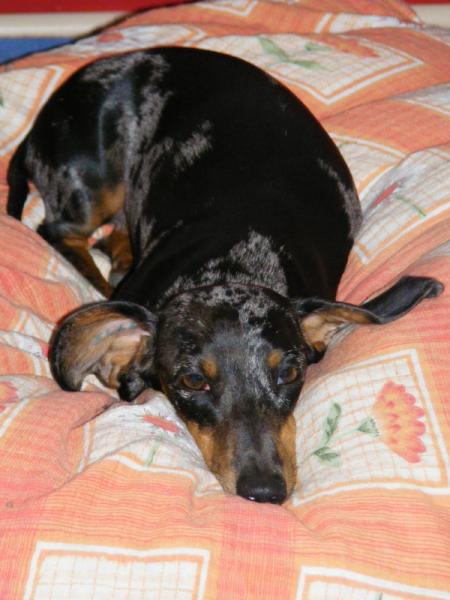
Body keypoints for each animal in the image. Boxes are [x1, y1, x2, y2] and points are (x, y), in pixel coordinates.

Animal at [7, 47, 443, 504]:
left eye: (290, 372)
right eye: (194, 380)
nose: (265, 491)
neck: (235, 264)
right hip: (90, 186)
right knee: (59, 232)